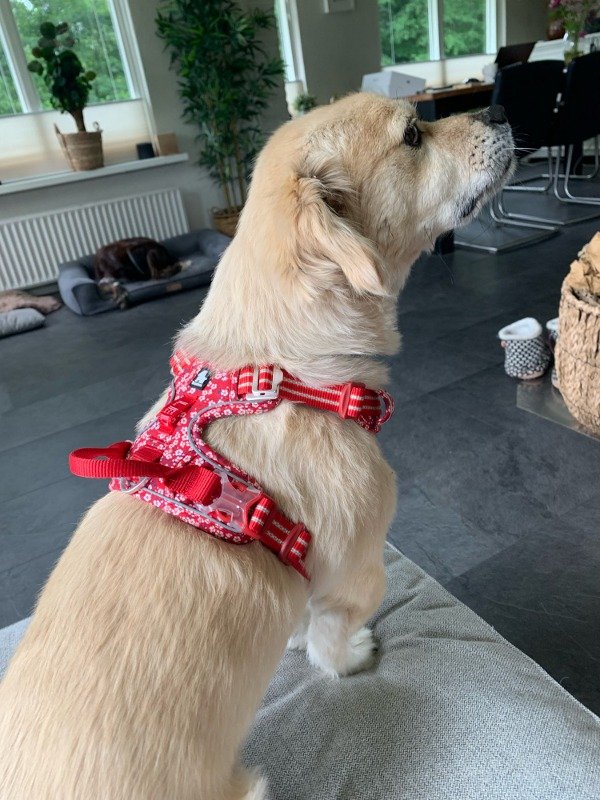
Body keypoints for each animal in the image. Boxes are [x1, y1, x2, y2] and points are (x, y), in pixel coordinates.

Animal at [0, 94, 513, 799]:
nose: (498, 109)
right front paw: (349, 657)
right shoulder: (358, 570)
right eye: (413, 133)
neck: (283, 375)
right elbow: (330, 637)